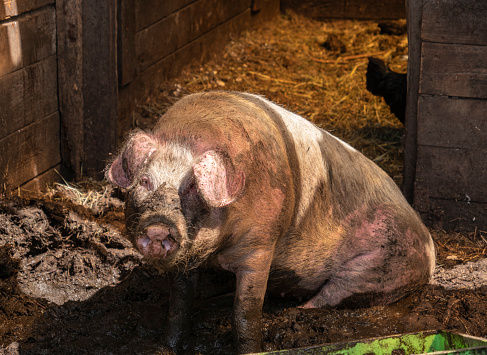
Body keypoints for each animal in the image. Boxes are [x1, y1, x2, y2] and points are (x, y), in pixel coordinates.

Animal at [106, 91, 434, 354]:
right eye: (145, 181)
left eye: (192, 187)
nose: (158, 226)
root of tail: (430, 253)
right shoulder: (186, 261)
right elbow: (180, 303)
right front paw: (167, 346)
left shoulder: (261, 246)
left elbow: (246, 311)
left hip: (376, 266)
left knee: (327, 298)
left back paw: (292, 311)